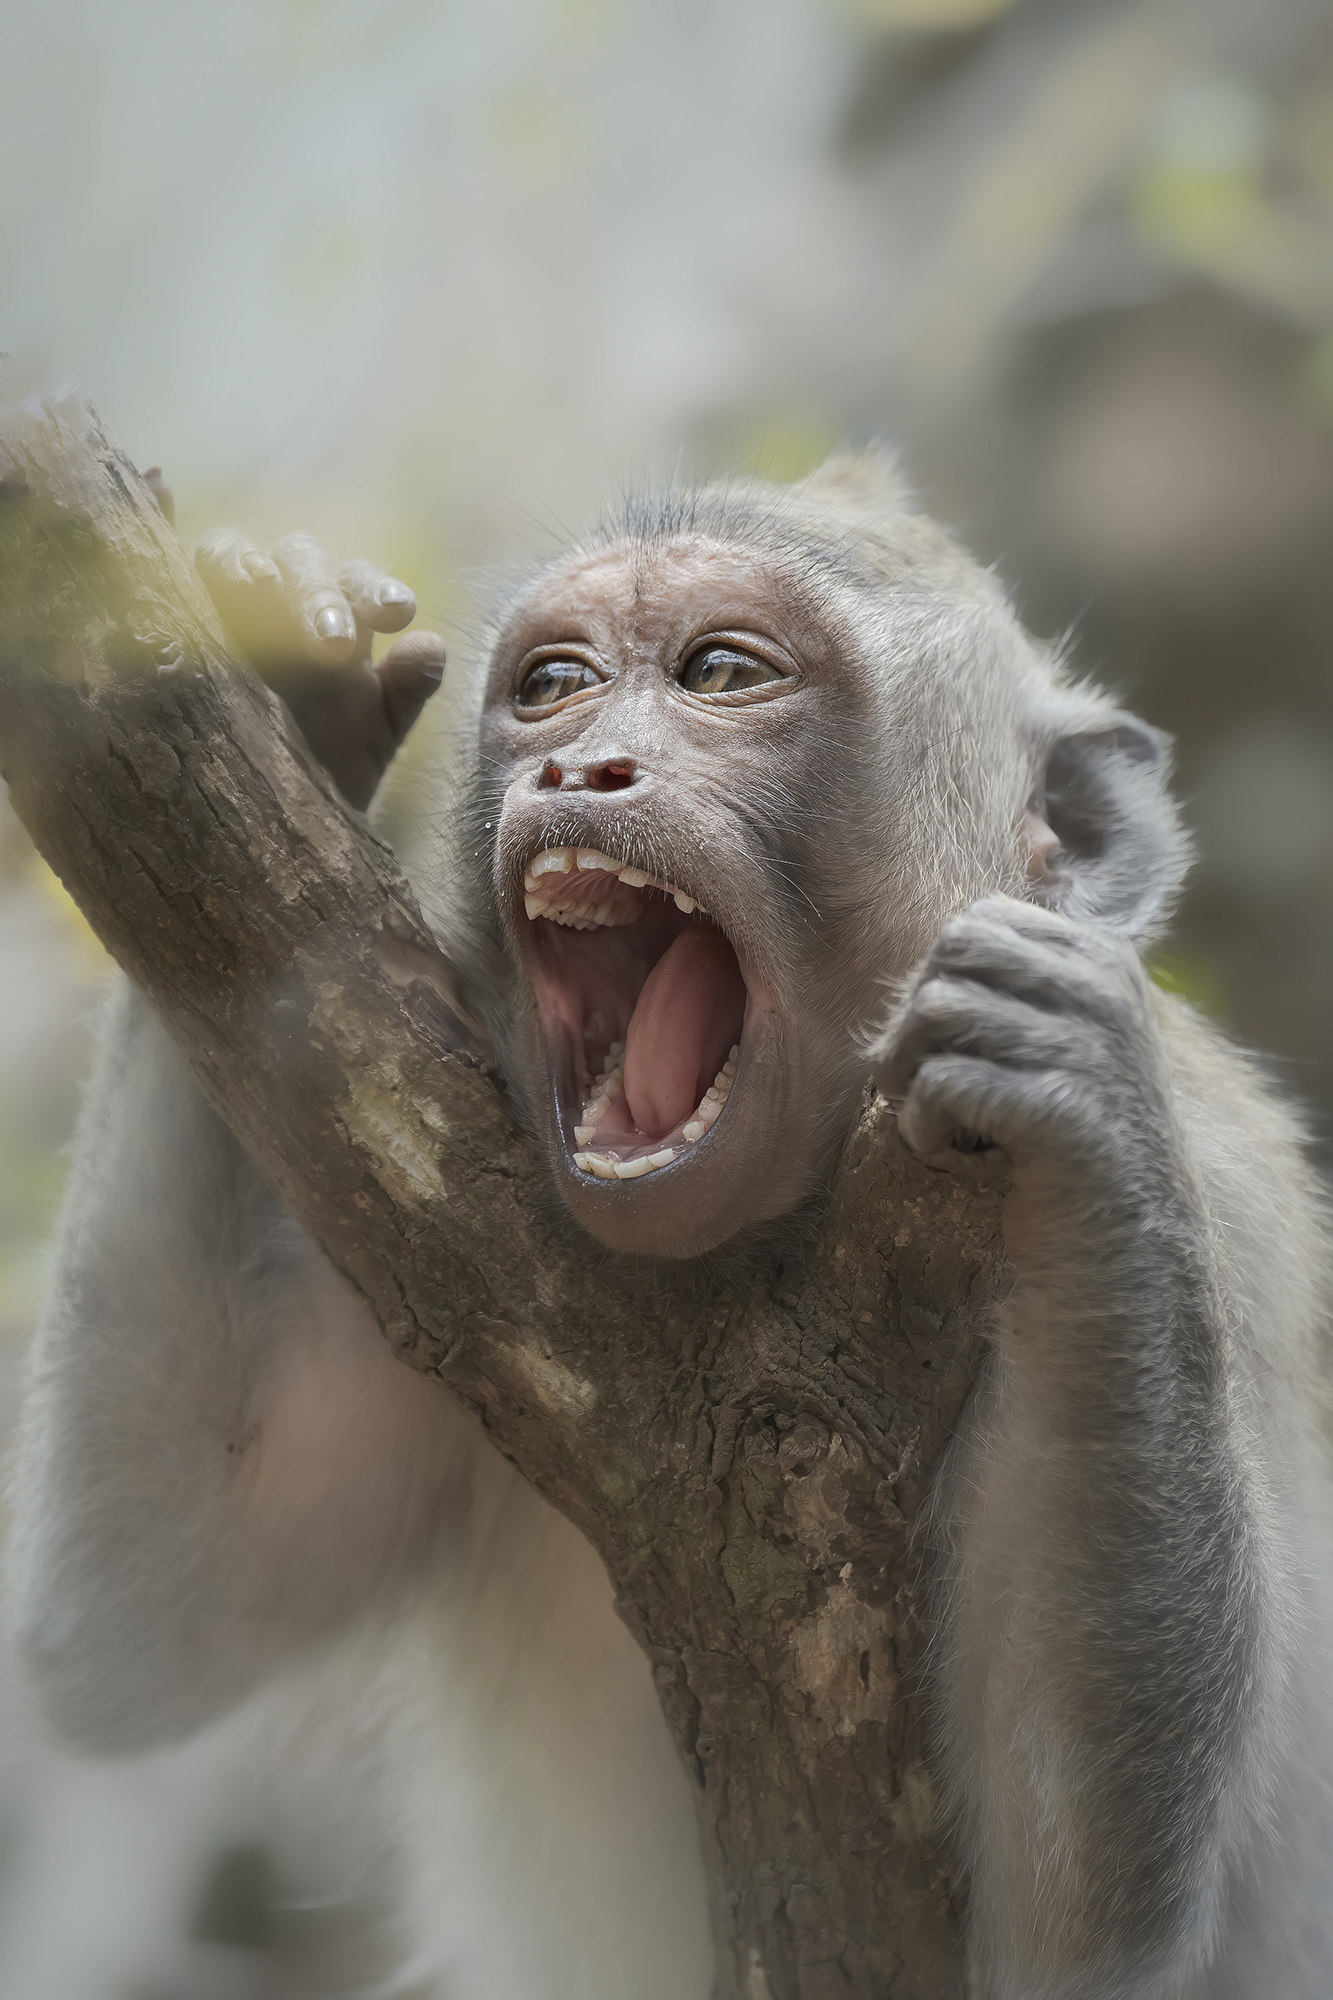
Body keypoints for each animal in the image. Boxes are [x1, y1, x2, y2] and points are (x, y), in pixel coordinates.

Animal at [7, 447, 1333, 1999]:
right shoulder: (425, 1210)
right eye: (555, 683)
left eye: (720, 672)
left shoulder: (1227, 1219)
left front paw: (1084, 1098)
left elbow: (1066, 1935)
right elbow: (145, 1614)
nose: (580, 766)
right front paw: (295, 693)